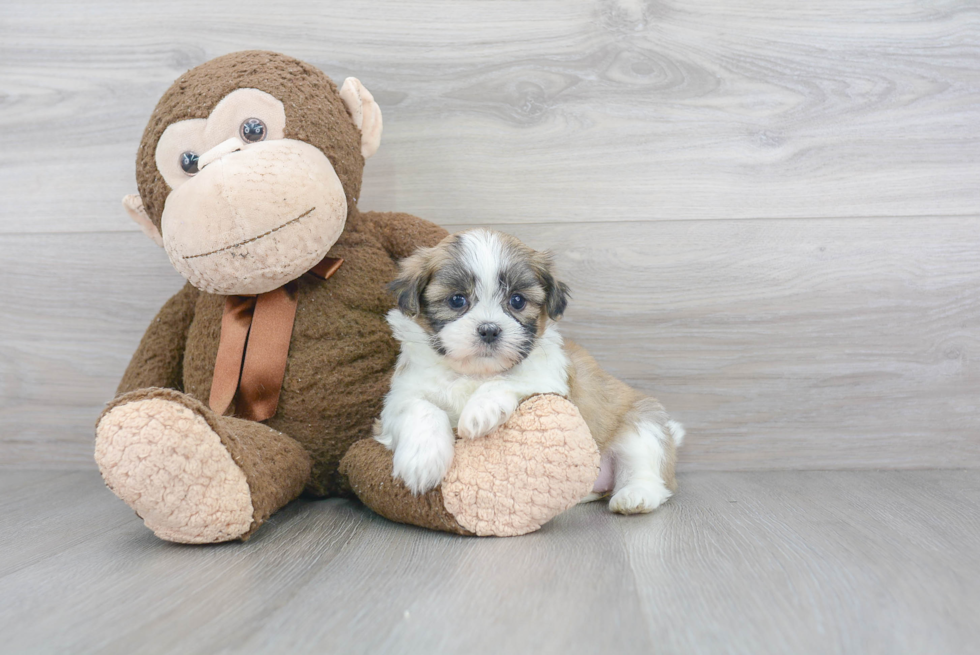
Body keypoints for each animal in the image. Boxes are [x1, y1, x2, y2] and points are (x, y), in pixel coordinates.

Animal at [372, 228, 684, 516]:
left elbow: (508, 380)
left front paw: (480, 411)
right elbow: (420, 408)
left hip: (642, 425)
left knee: (648, 469)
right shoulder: (399, 398)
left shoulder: (552, 385)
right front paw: (422, 460)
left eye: (517, 300)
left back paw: (635, 496)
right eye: (457, 300)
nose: (489, 329)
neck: (475, 373)